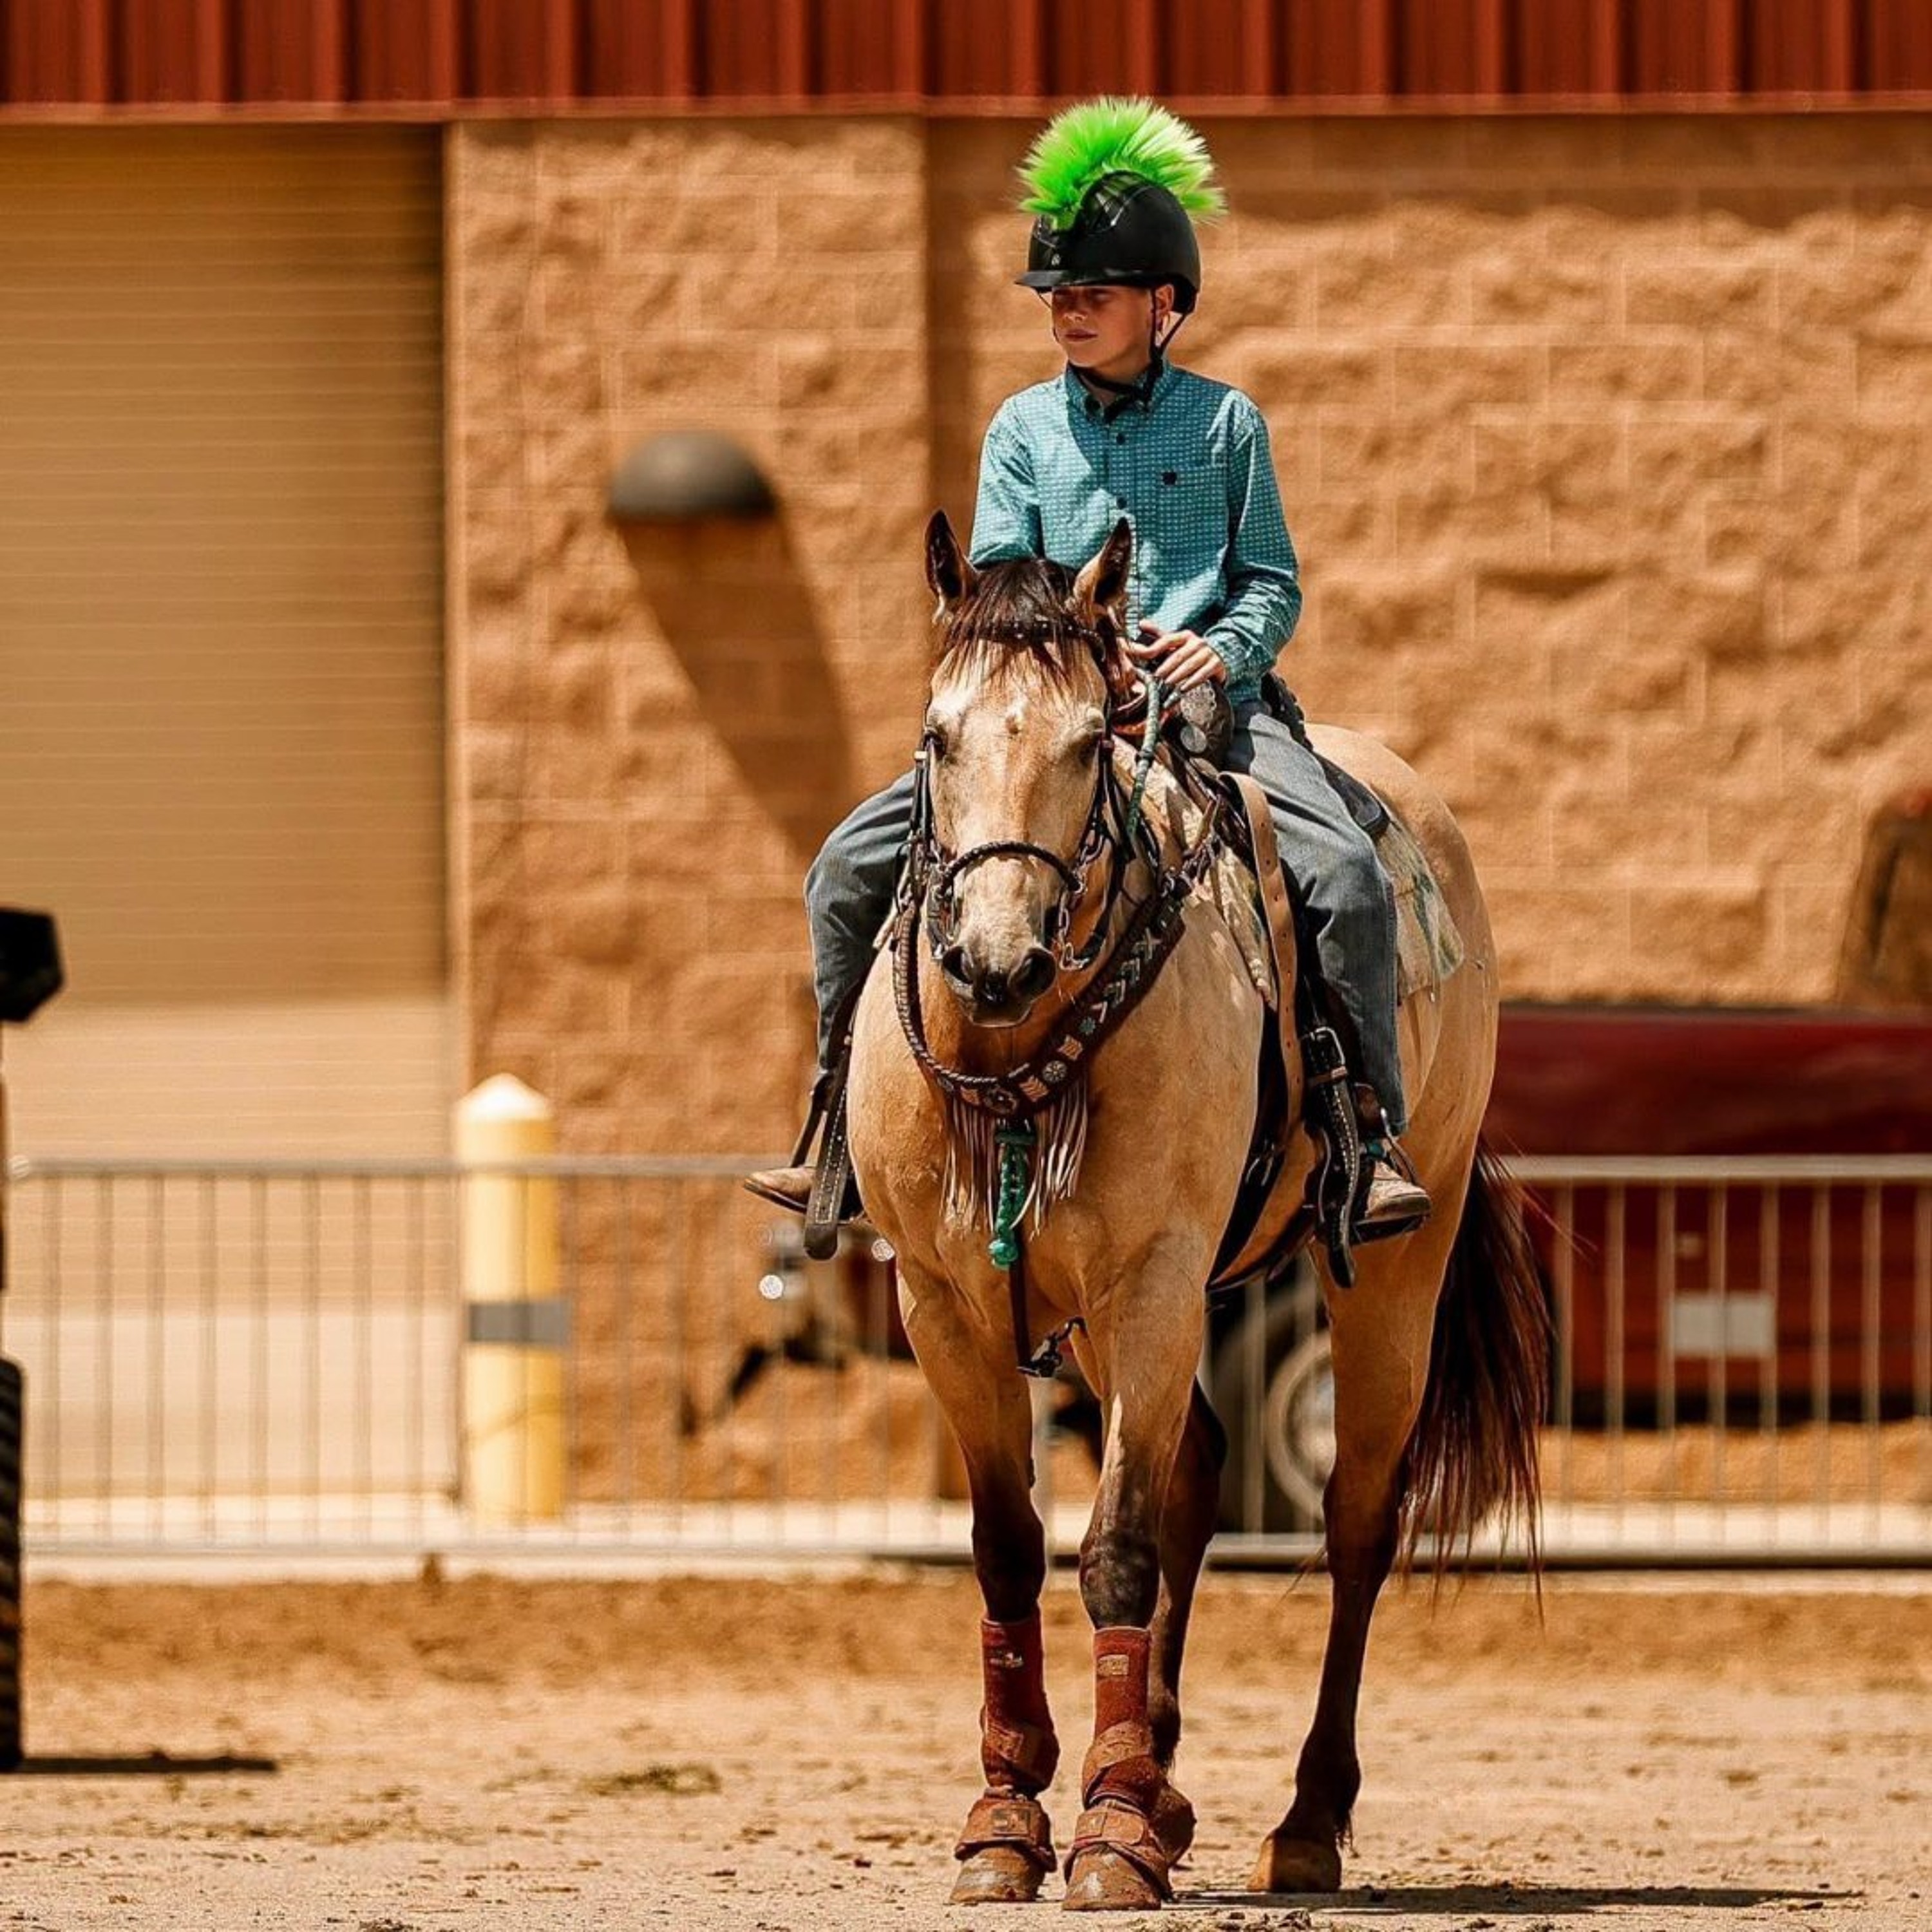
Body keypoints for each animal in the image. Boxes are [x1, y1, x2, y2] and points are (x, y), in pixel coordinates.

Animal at [845, 511, 1548, 1912]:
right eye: (937, 737)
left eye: (1089, 740)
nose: (995, 957)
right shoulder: (943, 1302)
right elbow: (1010, 1549)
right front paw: (1012, 1820)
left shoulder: (1156, 1278)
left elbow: (1114, 1547)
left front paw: (1108, 1837)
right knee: (1203, 1472)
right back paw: (1161, 1787)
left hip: (1391, 1275)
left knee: (1356, 1522)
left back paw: (1303, 1821)